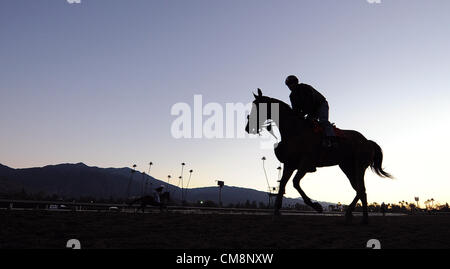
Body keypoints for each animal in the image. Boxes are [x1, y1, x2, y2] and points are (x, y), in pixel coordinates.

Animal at [244, 89, 392, 223]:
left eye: (258, 106)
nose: (248, 127)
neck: (295, 130)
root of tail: (367, 141)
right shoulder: (290, 164)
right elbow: (282, 185)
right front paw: (276, 211)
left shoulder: (305, 163)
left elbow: (295, 182)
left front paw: (316, 206)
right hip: (347, 168)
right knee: (359, 190)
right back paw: (354, 214)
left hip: (359, 166)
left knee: (361, 189)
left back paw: (362, 217)